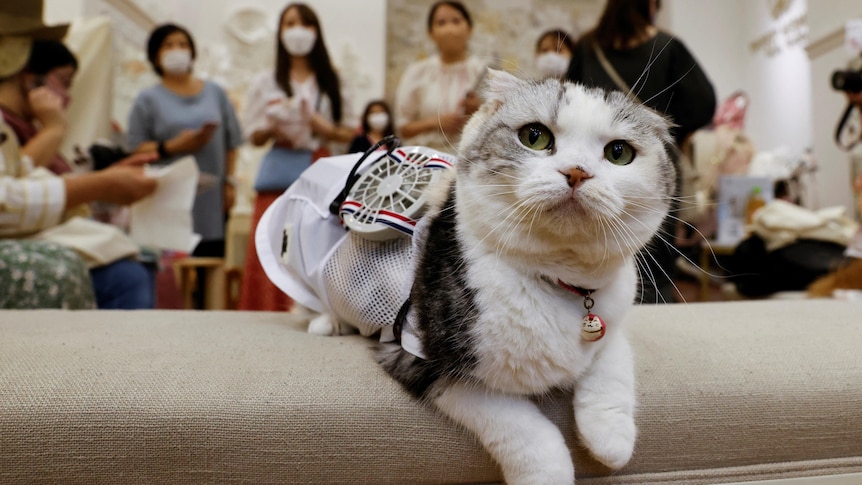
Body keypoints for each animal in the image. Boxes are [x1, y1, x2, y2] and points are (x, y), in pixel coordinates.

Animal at [382, 69, 680, 484]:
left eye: (619, 153)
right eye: (534, 136)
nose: (577, 171)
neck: (557, 280)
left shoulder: (612, 318)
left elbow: (612, 363)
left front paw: (610, 437)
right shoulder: (423, 359)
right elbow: (521, 426)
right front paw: (549, 473)